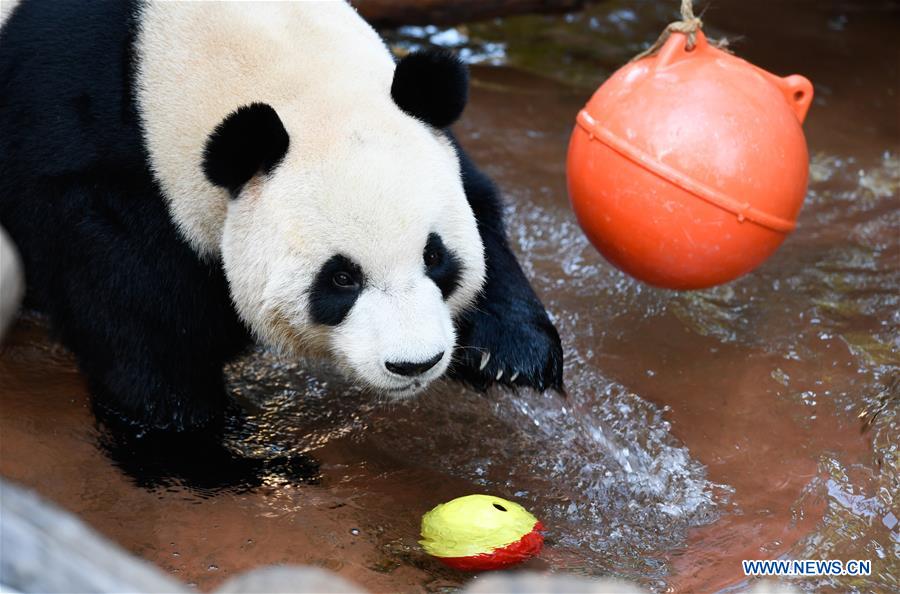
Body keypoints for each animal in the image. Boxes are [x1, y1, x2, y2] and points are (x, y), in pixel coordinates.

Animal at [0, 1, 563, 447]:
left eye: (434, 255)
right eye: (341, 278)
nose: (414, 364)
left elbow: (479, 199)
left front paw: (511, 354)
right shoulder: (98, 172)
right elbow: (142, 328)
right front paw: (209, 445)